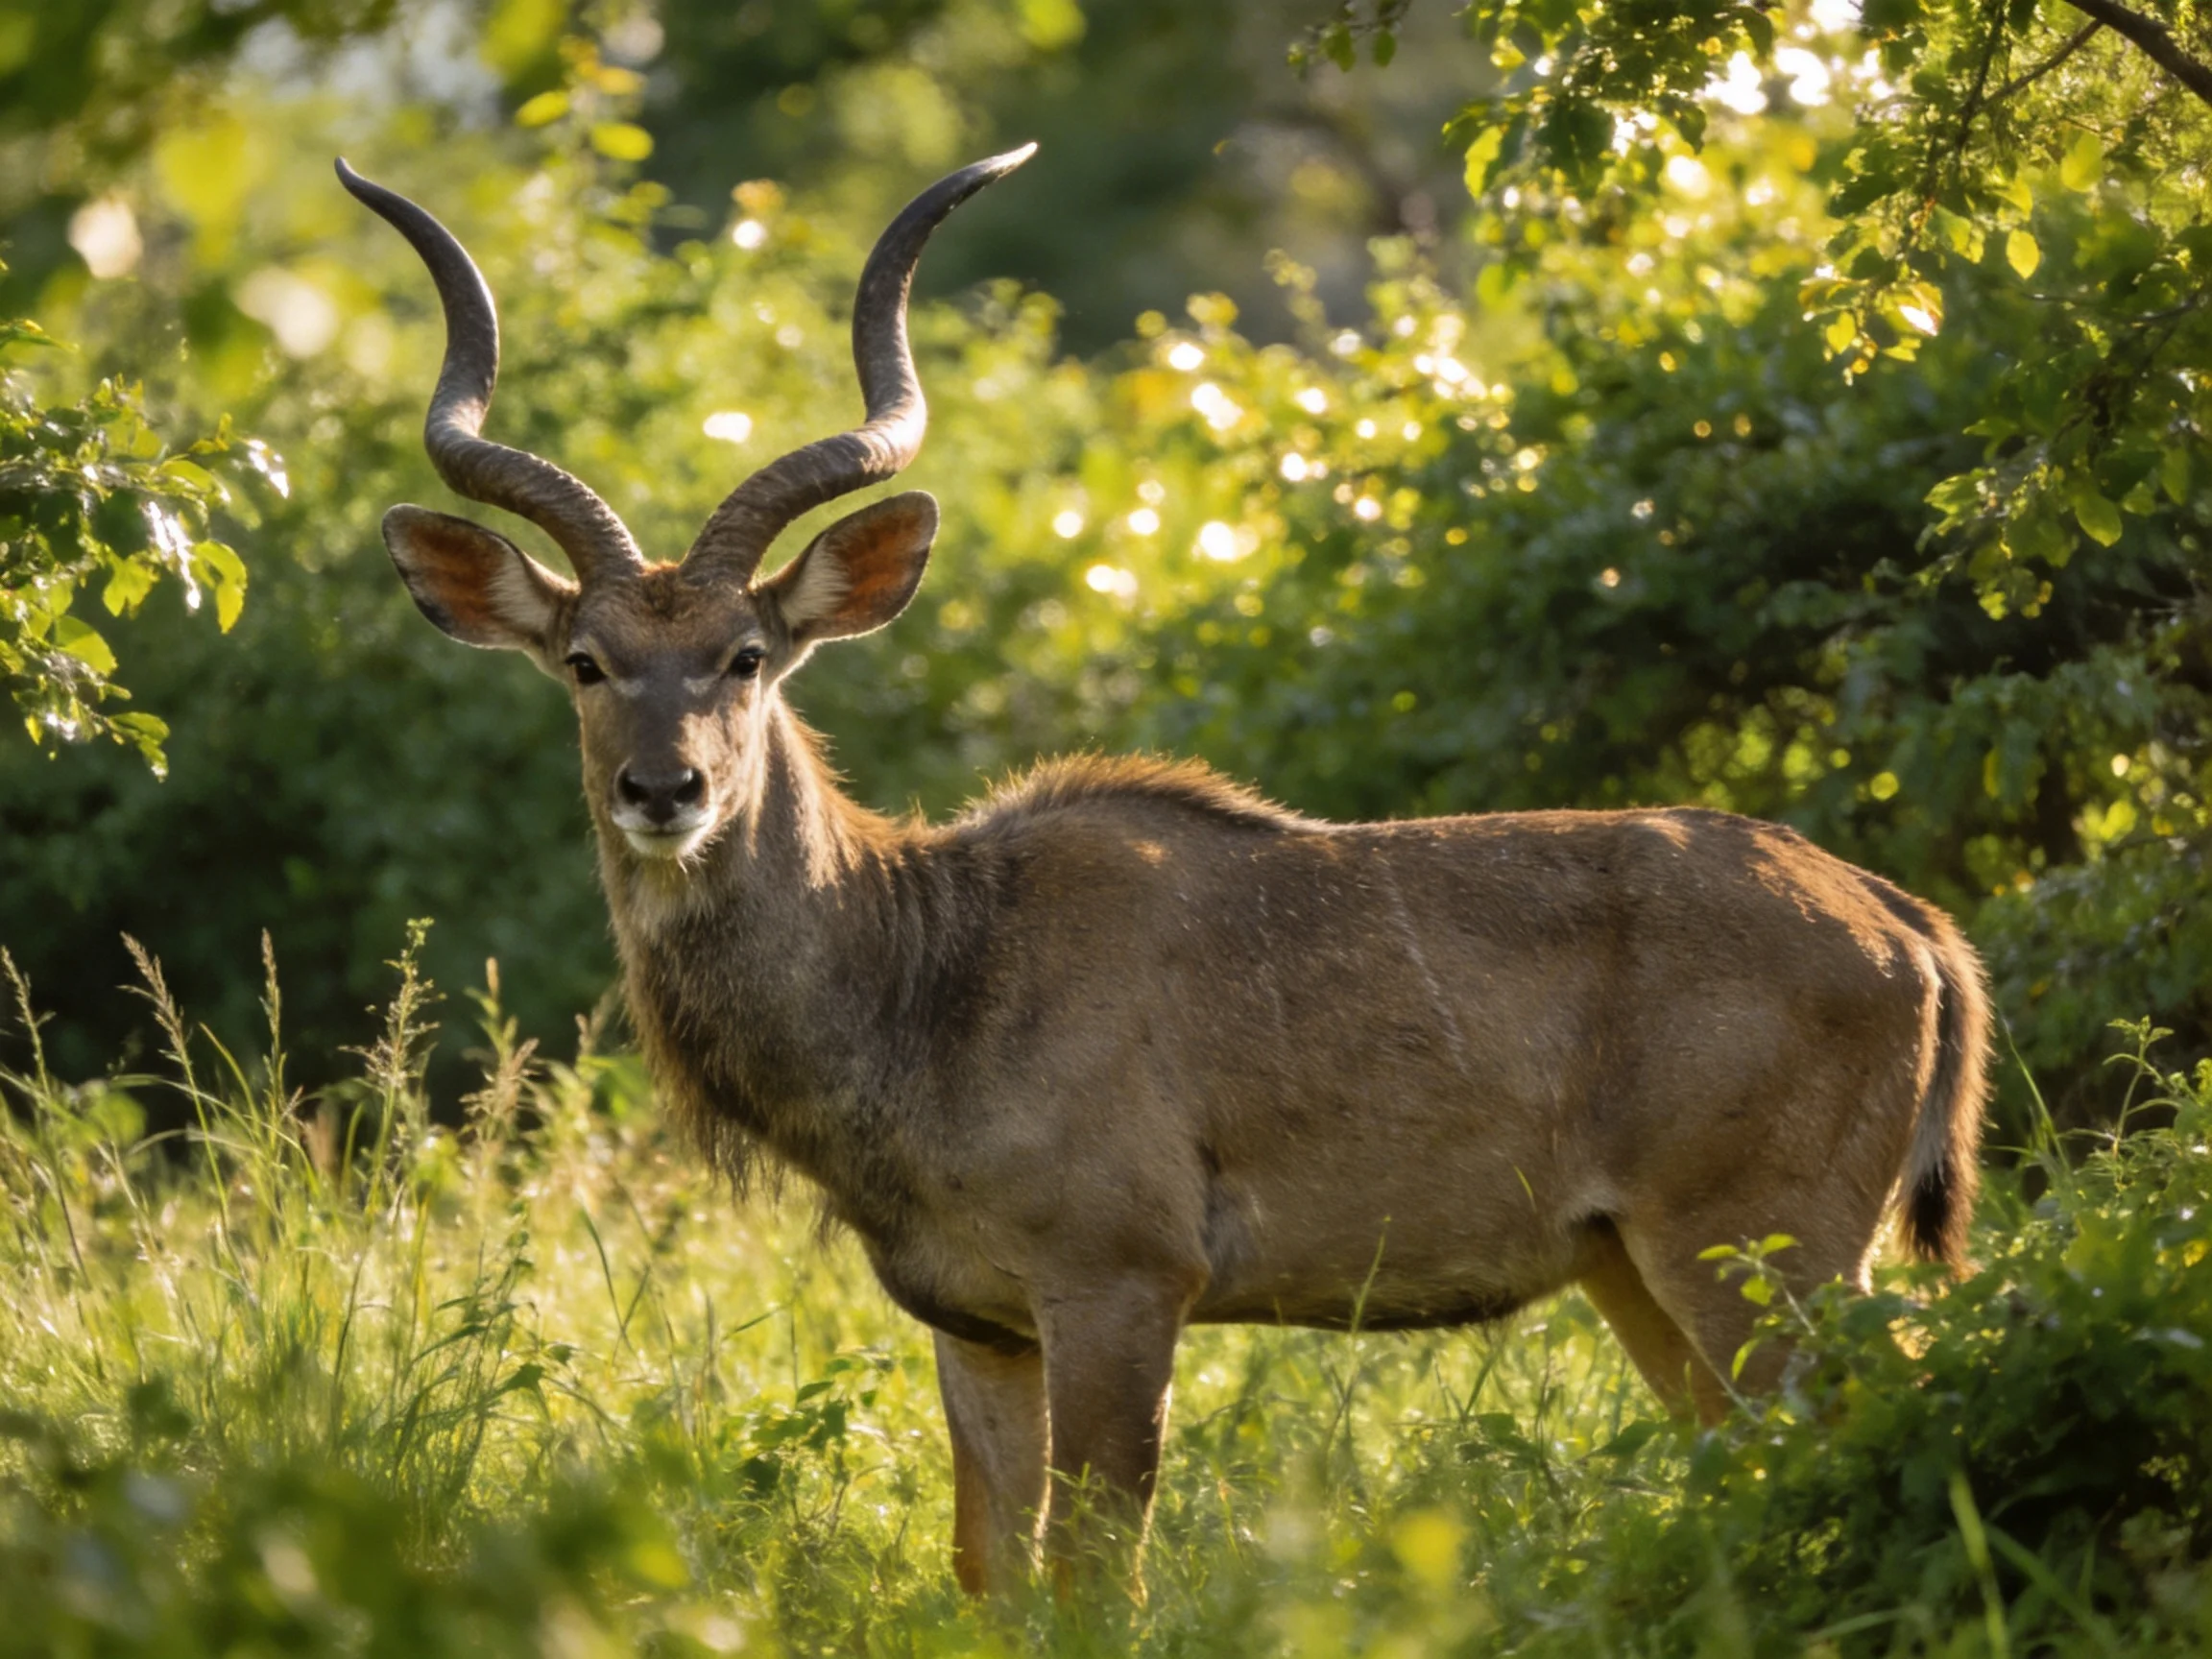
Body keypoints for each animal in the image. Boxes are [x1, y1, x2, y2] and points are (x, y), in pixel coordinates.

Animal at [339, 147, 1991, 1594]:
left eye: (746, 654)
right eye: (586, 660)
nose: (664, 790)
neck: (931, 967)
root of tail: (1915, 934)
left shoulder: (1123, 1288)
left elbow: (1095, 1577)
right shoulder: (978, 1324)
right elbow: (990, 1574)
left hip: (1756, 1250)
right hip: (1633, 1270)